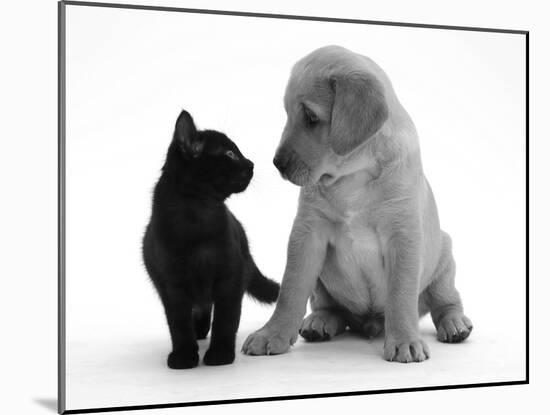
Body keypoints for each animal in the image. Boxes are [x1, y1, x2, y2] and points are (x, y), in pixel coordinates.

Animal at [142, 110, 280, 370]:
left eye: (237, 151)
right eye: (229, 154)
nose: (251, 163)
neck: (199, 215)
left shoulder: (230, 276)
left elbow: (226, 319)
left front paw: (220, 354)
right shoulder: (173, 284)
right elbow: (178, 323)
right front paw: (184, 356)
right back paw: (197, 333)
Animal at [243, 46, 474, 364]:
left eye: (311, 118)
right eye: (288, 115)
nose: (277, 163)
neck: (354, 176)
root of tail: (369, 322)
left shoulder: (402, 236)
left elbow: (401, 295)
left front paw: (404, 340)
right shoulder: (307, 234)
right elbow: (291, 289)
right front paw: (271, 333)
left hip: (444, 257)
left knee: (445, 301)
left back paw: (455, 323)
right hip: (323, 285)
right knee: (329, 308)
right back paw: (320, 322)